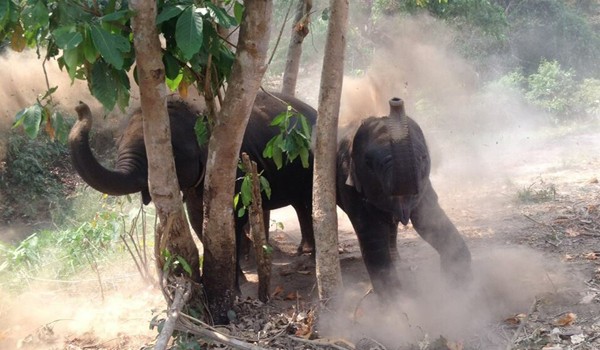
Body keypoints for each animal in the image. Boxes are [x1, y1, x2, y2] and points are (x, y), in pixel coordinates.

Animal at [68, 90, 316, 288]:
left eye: (171, 153)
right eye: (118, 144)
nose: (80, 107)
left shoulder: (235, 171)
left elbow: (230, 222)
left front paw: (236, 286)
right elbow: (197, 219)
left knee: (307, 201)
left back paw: (310, 255)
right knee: (300, 204)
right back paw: (303, 250)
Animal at [336, 97, 472, 296]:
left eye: (423, 158)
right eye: (368, 163)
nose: (395, 101)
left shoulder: (424, 185)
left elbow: (428, 221)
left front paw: (462, 294)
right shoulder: (347, 181)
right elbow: (372, 234)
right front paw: (398, 303)